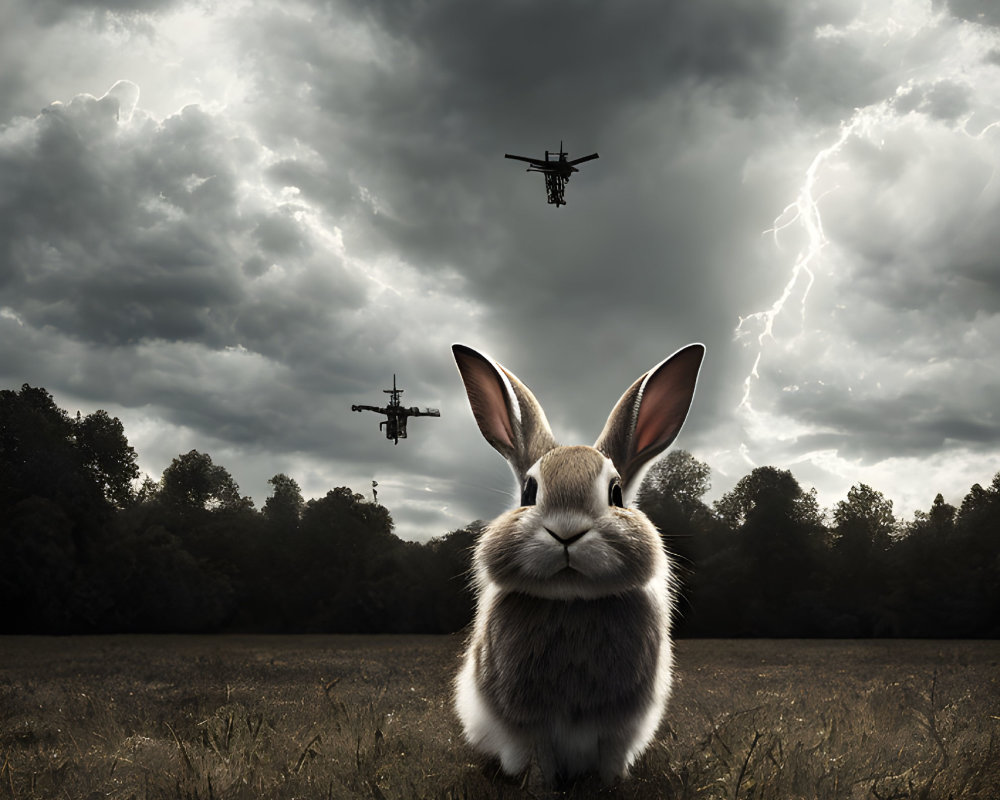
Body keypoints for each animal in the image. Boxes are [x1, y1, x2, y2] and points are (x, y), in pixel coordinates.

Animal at [454, 340, 704, 784]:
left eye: (617, 493)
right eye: (529, 492)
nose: (566, 532)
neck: (571, 599)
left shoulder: (617, 727)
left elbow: (608, 758)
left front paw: (610, 785)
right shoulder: (528, 724)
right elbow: (540, 758)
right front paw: (541, 787)